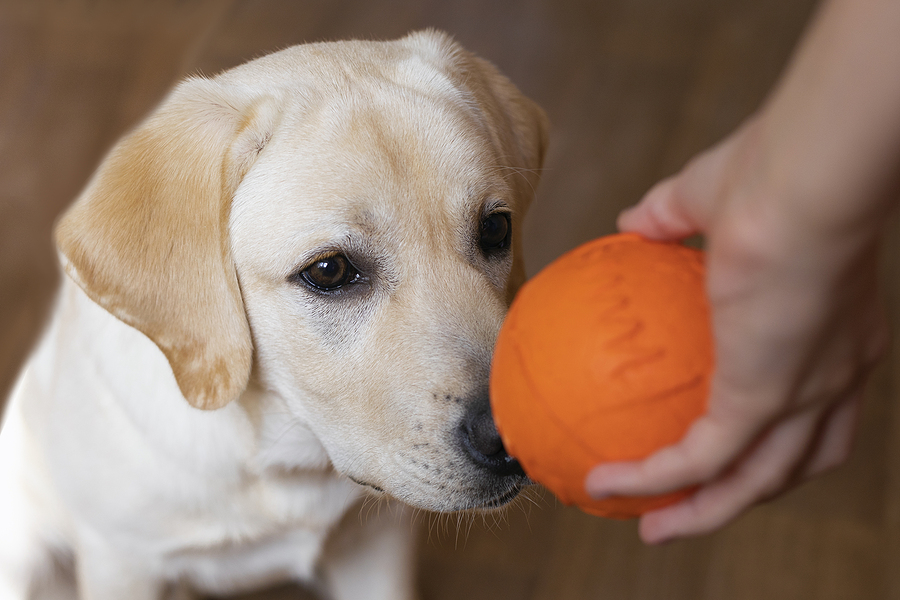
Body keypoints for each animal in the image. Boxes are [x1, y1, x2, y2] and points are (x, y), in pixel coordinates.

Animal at [0, 29, 548, 600]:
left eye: (495, 229)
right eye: (329, 270)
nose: (519, 434)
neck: (283, 458)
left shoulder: (375, 544)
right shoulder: (124, 562)